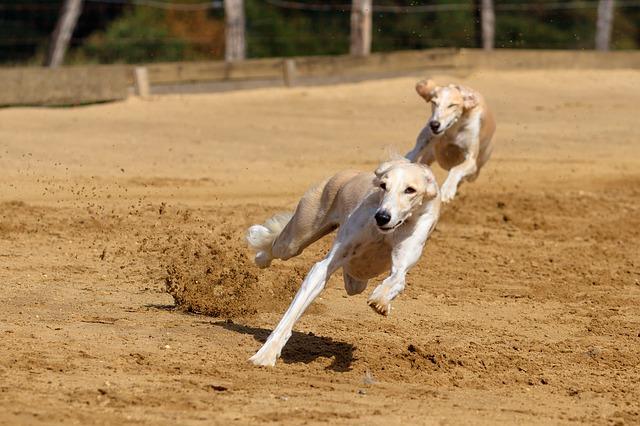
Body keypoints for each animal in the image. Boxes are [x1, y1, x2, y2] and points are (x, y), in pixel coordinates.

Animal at [245, 159, 440, 366]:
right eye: (383, 186)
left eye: (410, 190)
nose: (382, 217)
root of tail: (350, 173)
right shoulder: (325, 265)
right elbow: (293, 311)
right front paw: (265, 354)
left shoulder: (403, 261)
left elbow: (397, 279)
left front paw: (380, 302)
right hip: (296, 238)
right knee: (278, 245)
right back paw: (260, 254)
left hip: (358, 278)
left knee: (356, 277)